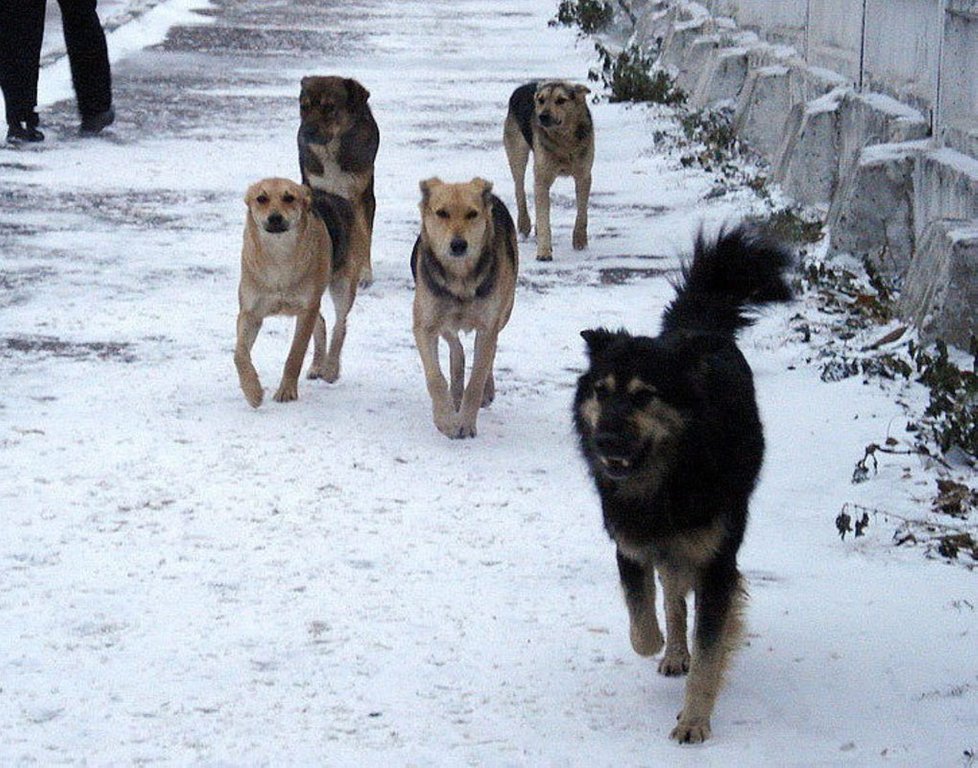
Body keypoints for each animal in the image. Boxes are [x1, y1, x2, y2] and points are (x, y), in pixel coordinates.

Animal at [504, 80, 596, 260]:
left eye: (561, 100)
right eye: (541, 100)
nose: (542, 116)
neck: (564, 141)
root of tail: (524, 86)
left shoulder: (584, 175)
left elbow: (582, 212)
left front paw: (580, 241)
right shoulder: (543, 177)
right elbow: (543, 217)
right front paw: (544, 252)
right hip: (517, 152)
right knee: (519, 188)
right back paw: (524, 224)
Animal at [572, 226, 792, 744]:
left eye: (643, 396)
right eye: (601, 392)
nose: (605, 439)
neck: (666, 479)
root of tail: (697, 328)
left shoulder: (715, 562)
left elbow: (710, 649)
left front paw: (694, 720)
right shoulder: (631, 543)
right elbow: (642, 618)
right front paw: (659, 645)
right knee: (671, 595)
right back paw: (673, 651)